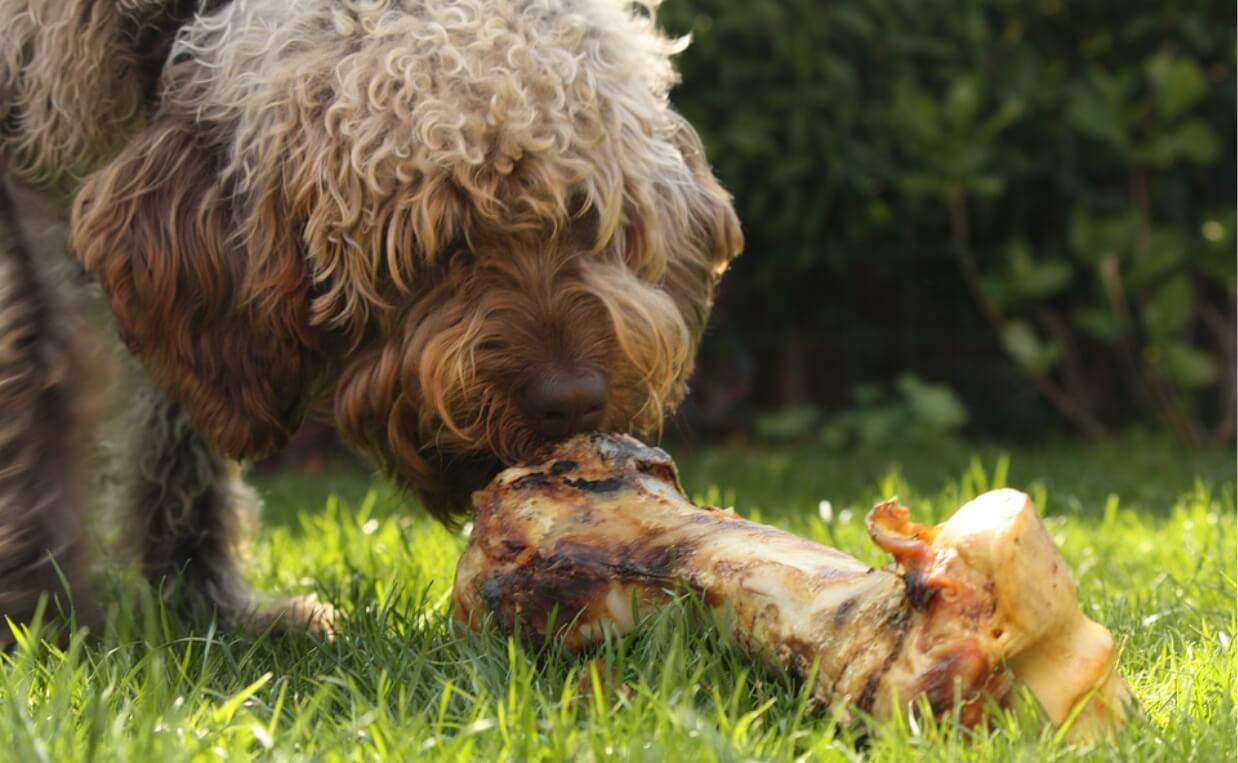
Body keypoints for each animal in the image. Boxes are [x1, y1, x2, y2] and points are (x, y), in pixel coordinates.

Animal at [0, 0, 732, 634]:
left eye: (585, 214)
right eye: (436, 243)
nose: (574, 400)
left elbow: (178, 440)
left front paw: (208, 610)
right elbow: (32, 387)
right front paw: (41, 616)